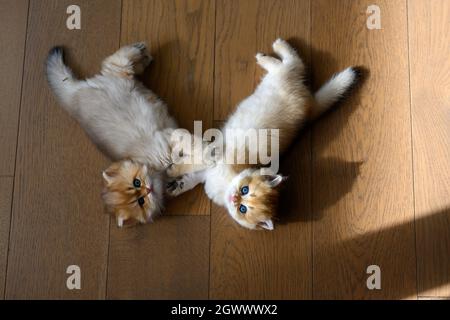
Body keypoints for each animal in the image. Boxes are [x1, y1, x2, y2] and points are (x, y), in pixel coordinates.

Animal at [46, 43, 177, 228]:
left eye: (136, 183)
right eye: (141, 202)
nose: (148, 189)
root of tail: (72, 96)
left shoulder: (165, 144)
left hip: (117, 75)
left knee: (114, 60)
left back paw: (140, 51)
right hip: (120, 76)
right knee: (116, 63)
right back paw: (143, 57)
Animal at [165, 38, 358, 230]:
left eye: (242, 209)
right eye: (245, 190)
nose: (234, 198)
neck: (228, 181)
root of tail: (310, 106)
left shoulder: (210, 166)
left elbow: (194, 165)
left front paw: (174, 174)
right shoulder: (213, 159)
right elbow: (197, 160)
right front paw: (177, 177)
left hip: (282, 77)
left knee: (292, 63)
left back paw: (270, 52)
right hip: (280, 78)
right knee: (294, 62)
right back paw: (274, 49)